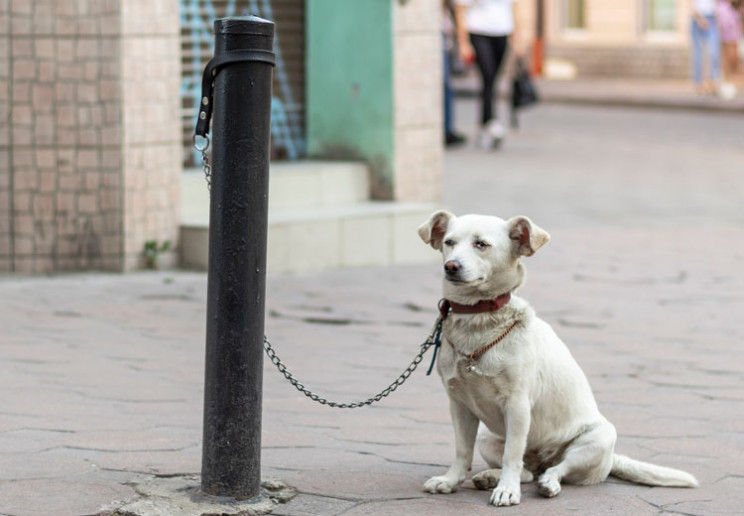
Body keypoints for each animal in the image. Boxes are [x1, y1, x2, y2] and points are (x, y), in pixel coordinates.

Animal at [418, 212, 696, 506]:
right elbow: (463, 451)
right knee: (527, 471)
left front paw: (507, 490)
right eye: (449, 242)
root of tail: (612, 460)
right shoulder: (459, 405)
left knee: (554, 470)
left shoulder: (517, 405)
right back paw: (491, 477)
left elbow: (511, 455)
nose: (451, 266)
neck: (478, 322)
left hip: (597, 438)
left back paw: (547, 483)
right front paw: (450, 481)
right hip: (487, 437)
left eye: (481, 244)